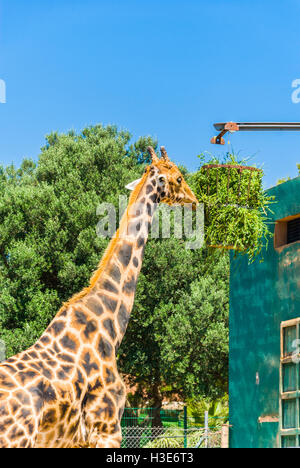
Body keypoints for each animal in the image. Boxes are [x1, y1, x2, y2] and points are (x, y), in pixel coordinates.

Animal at [0, 146, 198, 450]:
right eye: (178, 178)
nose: (194, 200)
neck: (111, 327)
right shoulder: (107, 428)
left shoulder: (73, 440)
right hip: (17, 439)